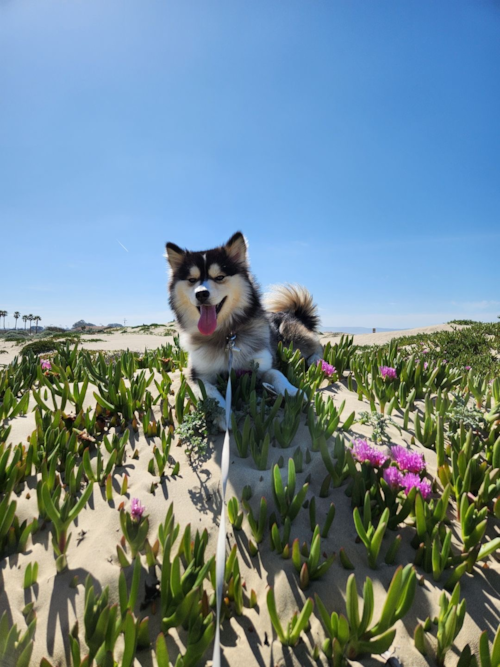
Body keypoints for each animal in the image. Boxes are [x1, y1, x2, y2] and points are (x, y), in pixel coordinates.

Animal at [166, 230, 324, 428]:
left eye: (219, 277)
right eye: (192, 280)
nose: (201, 293)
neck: (226, 336)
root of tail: (293, 312)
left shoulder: (262, 365)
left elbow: (277, 374)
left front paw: (293, 392)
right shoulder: (196, 375)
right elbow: (210, 392)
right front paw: (223, 413)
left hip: (292, 337)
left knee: (318, 345)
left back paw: (316, 361)